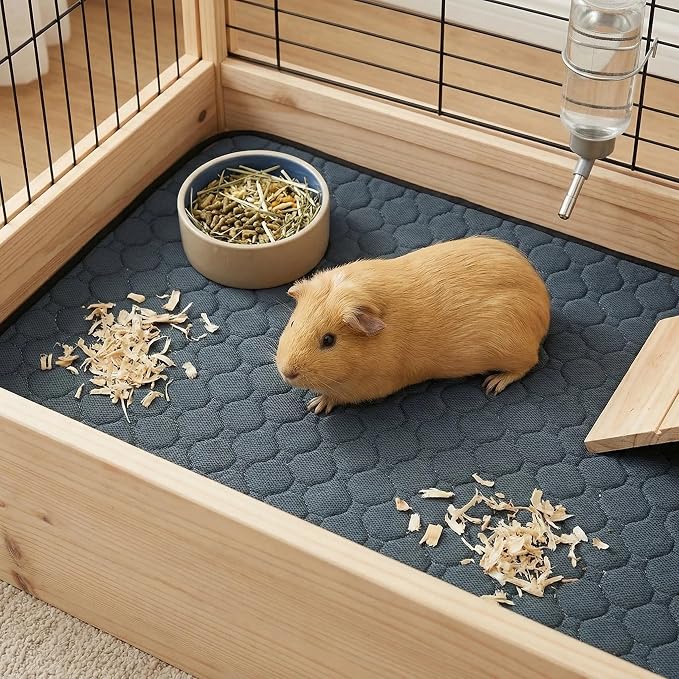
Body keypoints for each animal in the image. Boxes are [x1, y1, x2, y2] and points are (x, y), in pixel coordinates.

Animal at [275, 236, 550, 414]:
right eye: (292, 323)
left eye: (328, 340)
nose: (287, 372)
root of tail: (543, 307)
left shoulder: (369, 386)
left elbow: (337, 395)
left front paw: (316, 405)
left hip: (512, 352)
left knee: (528, 364)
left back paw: (493, 384)